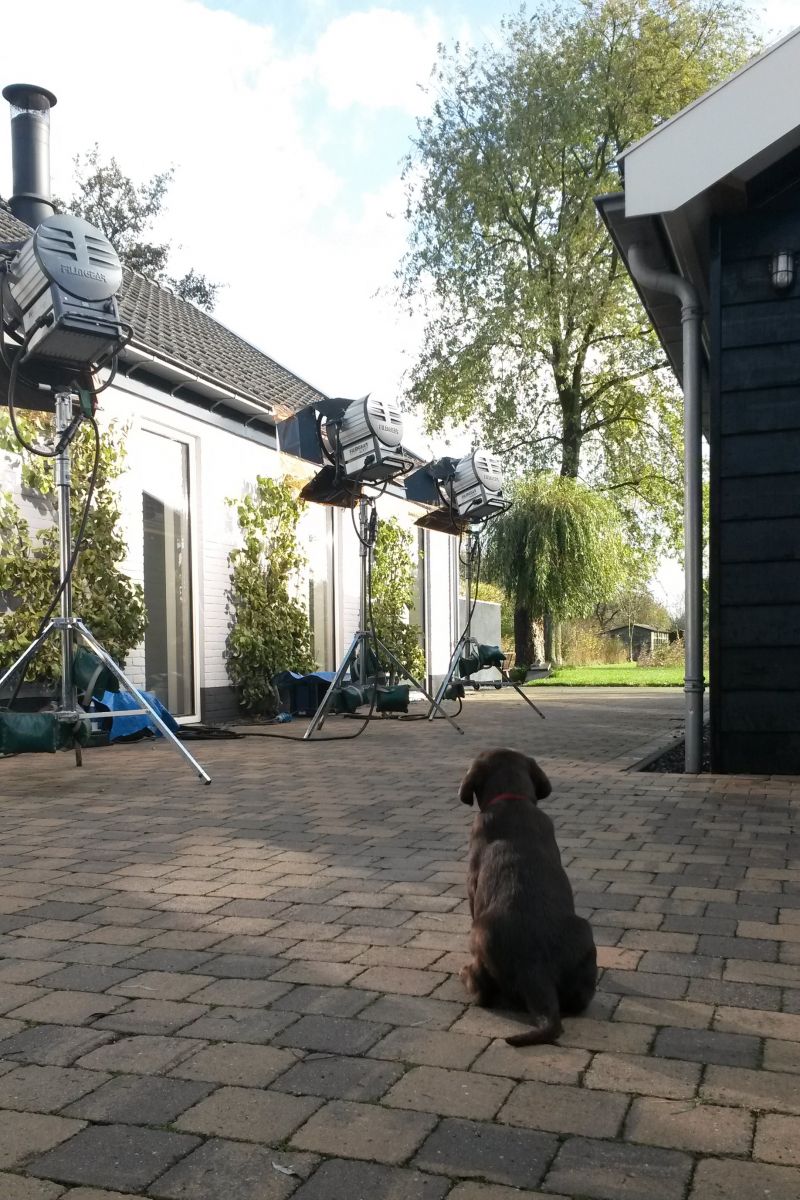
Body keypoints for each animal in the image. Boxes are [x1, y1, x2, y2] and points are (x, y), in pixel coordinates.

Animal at [458, 747, 596, 1046]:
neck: (511, 800)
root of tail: (537, 969)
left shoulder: (472, 885)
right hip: (585, 932)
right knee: (579, 1001)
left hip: (478, 935)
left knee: (482, 993)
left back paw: (465, 974)